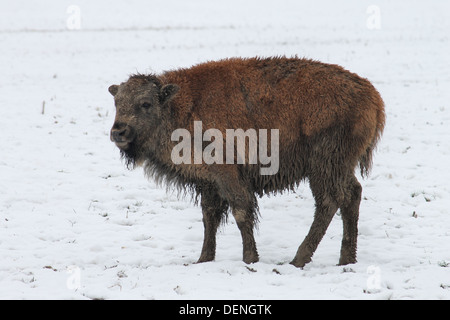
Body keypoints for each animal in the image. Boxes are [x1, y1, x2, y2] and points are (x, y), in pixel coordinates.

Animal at [107, 57, 384, 268]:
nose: (118, 132)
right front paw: (203, 259)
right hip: (341, 166)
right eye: (117, 102)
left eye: (145, 103)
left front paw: (250, 259)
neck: (179, 106)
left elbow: (241, 211)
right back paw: (346, 259)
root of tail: (373, 97)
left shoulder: (227, 174)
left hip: (324, 166)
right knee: (352, 195)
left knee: (329, 201)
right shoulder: (209, 181)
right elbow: (209, 217)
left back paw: (299, 259)